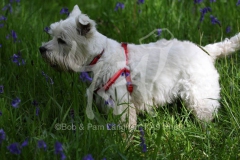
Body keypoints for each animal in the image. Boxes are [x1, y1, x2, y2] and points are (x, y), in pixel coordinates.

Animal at [39, 5, 240, 127]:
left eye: (61, 40)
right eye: (52, 34)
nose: (41, 49)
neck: (100, 57)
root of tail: (207, 51)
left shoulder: (122, 102)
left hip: (199, 96)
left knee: (206, 116)